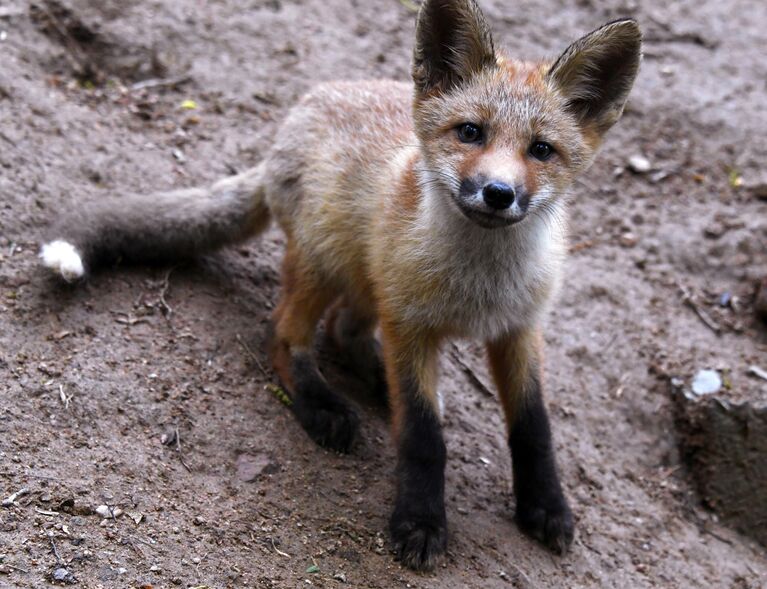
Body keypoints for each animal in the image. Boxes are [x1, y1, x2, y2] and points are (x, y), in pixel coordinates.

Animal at [40, 0, 640, 572]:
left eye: (541, 150)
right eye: (471, 132)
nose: (498, 193)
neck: (477, 289)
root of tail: (302, 111)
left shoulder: (519, 328)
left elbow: (534, 428)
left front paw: (547, 506)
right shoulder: (410, 327)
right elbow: (422, 435)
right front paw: (420, 521)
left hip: (368, 280)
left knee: (344, 329)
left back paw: (374, 382)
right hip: (325, 262)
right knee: (285, 334)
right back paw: (321, 404)